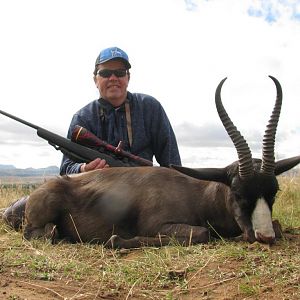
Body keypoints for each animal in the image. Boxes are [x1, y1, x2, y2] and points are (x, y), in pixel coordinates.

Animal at [21, 76, 300, 247]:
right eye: (238, 193)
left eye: (273, 193)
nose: (264, 237)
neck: (201, 195)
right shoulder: (158, 225)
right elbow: (203, 233)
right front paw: (116, 241)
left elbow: (278, 223)